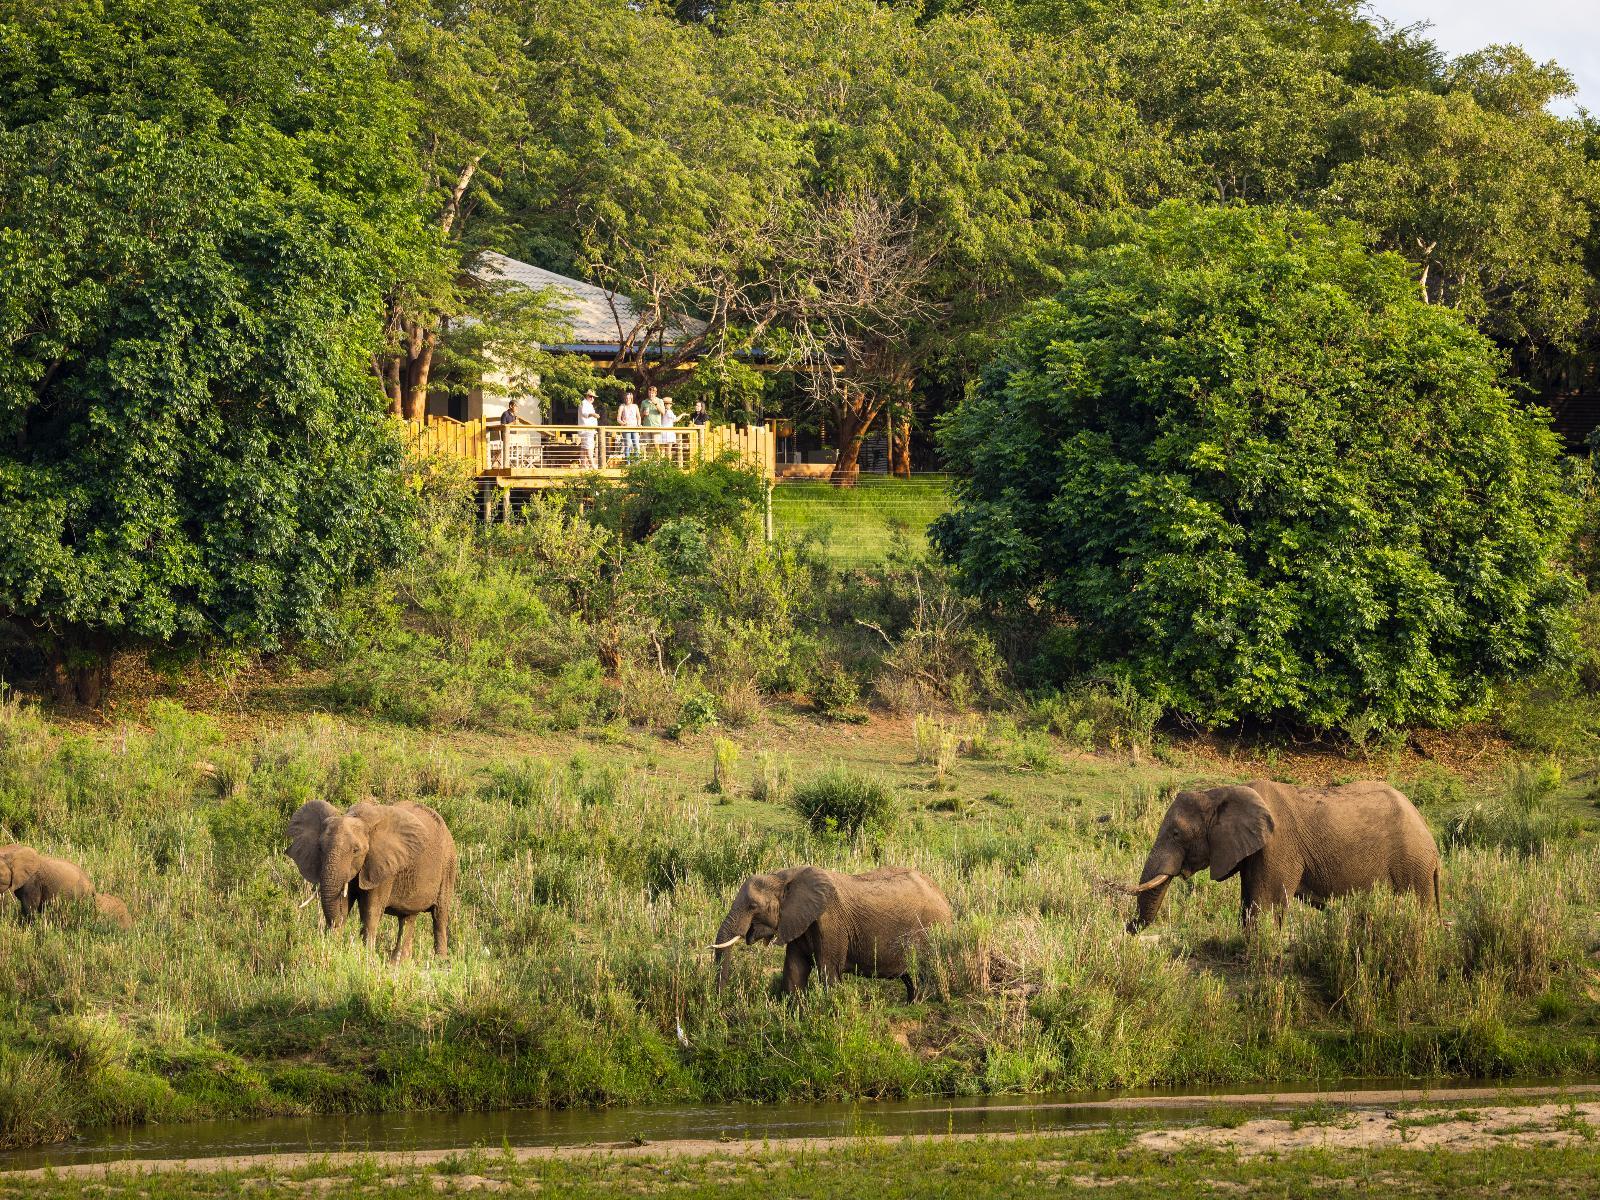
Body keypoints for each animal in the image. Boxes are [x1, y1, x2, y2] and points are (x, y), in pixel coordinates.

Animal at [286, 799, 456, 961]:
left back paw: (440, 961)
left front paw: (366, 957)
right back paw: (398, 963)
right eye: (320, 848)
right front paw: (335, 950)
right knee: (407, 917)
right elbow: (344, 904)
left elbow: (371, 910)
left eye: (355, 850)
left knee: (439, 915)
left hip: (448, 865)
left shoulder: (383, 866)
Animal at [711, 865, 953, 999]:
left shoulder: (830, 921)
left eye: (752, 906)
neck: (783, 876)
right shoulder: (800, 921)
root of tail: (943, 896)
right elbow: (795, 969)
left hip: (931, 929)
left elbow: (828, 971)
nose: (719, 1003)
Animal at [1125, 779, 1440, 931]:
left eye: (1176, 834)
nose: (1129, 927)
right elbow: (1249, 905)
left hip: (1412, 864)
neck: (1221, 791)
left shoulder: (1277, 846)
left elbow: (1265, 905)